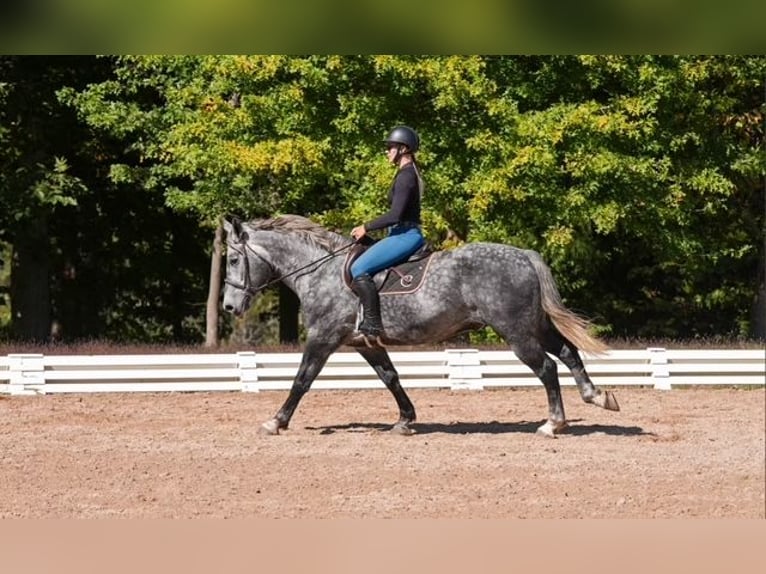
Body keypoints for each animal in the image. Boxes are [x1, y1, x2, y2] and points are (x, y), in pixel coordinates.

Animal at [222, 214, 619, 438]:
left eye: (233, 259)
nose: (228, 306)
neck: (321, 270)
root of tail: (523, 254)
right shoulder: (365, 343)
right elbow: (390, 378)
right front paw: (405, 420)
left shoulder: (324, 337)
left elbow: (302, 380)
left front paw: (276, 421)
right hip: (533, 325)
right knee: (567, 351)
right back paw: (597, 397)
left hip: (517, 332)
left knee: (547, 367)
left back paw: (553, 424)